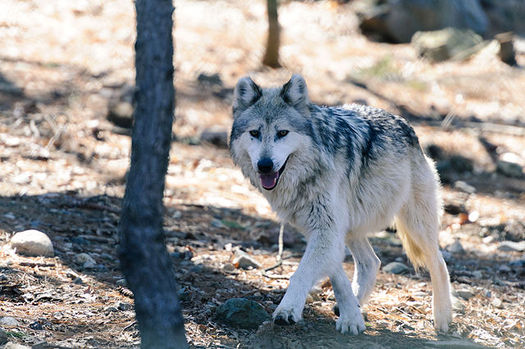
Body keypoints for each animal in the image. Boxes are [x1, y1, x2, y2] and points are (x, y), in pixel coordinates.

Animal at [228, 75, 450, 334]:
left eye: (282, 133)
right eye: (254, 132)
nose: (264, 165)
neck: (308, 172)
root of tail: (406, 124)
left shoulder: (327, 230)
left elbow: (300, 274)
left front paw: (287, 310)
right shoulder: (323, 230)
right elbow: (337, 276)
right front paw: (351, 318)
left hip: (415, 225)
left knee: (438, 262)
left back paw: (443, 316)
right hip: (352, 227)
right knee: (371, 262)